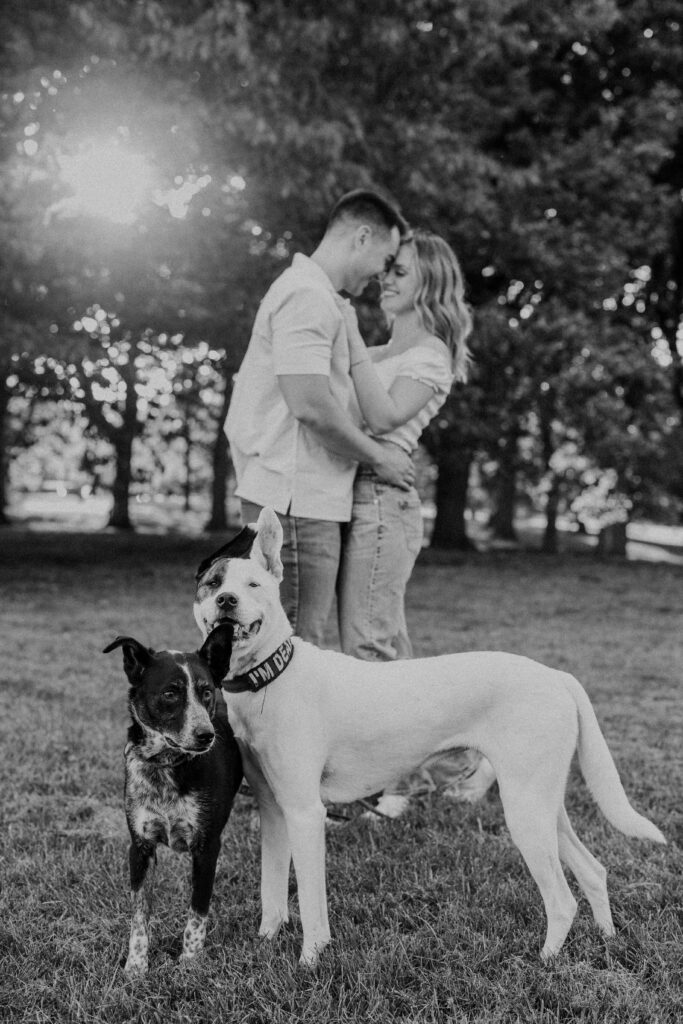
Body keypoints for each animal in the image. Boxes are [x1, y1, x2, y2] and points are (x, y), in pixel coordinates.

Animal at [104, 622, 242, 974]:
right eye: (170, 693)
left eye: (206, 691)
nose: (206, 735)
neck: (167, 764)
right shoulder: (140, 847)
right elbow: (139, 915)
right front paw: (136, 967)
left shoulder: (207, 848)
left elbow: (197, 913)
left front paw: (190, 965)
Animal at [194, 509, 663, 966]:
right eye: (213, 583)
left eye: (253, 585)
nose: (226, 601)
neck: (268, 677)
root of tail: (556, 675)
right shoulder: (275, 810)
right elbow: (271, 887)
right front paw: (266, 939)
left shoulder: (305, 814)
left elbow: (311, 901)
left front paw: (310, 959)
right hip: (544, 805)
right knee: (593, 870)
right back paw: (607, 938)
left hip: (525, 811)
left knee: (563, 900)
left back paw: (545, 961)